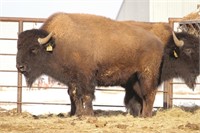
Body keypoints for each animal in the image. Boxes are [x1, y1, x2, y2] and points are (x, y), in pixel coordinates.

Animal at [16, 13, 164, 116]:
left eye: (33, 49)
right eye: (18, 47)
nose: (20, 67)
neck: (58, 43)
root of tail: (157, 41)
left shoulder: (86, 76)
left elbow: (87, 95)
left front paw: (88, 115)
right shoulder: (72, 79)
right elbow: (74, 95)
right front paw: (77, 114)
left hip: (147, 74)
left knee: (150, 94)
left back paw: (146, 116)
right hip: (135, 79)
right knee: (143, 95)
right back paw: (141, 115)